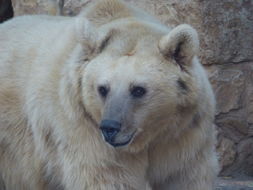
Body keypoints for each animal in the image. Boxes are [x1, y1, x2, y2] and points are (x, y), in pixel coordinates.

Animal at [0, 0, 217, 189]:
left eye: (138, 89)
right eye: (102, 88)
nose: (110, 127)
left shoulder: (183, 134)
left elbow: (185, 177)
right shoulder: (83, 129)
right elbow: (108, 177)